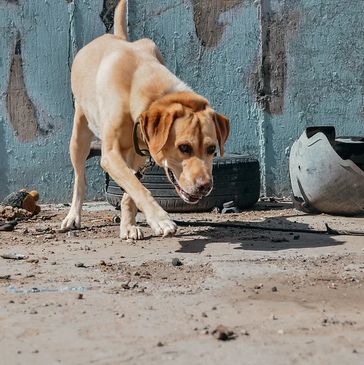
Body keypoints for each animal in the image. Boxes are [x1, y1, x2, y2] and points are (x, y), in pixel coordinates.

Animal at [61, 0, 229, 239]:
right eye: (184, 147)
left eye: (212, 149)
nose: (205, 186)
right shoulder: (110, 156)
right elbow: (138, 187)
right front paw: (161, 219)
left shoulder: (141, 156)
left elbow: (132, 190)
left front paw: (129, 225)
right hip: (79, 137)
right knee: (79, 180)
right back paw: (73, 216)